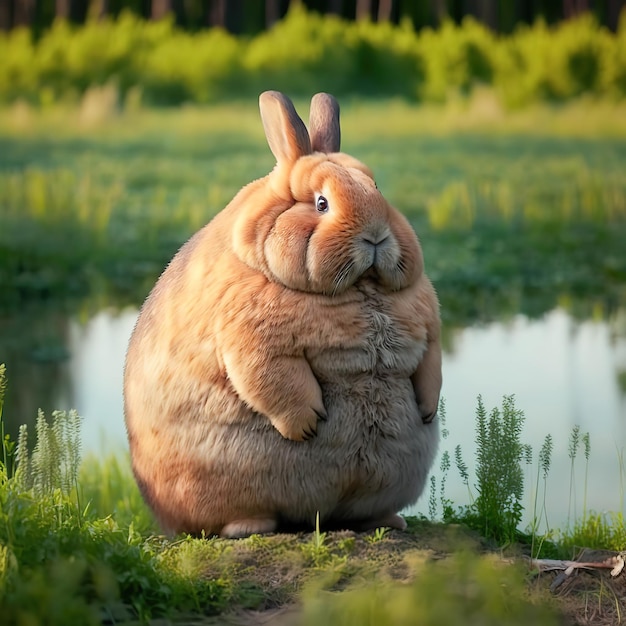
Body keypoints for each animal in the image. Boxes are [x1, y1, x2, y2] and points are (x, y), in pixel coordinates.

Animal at [124, 91, 442, 536]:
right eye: (322, 203)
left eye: (376, 187)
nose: (376, 235)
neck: (361, 287)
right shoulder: (251, 342)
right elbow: (277, 383)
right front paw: (307, 425)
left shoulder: (429, 333)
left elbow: (431, 371)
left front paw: (427, 410)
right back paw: (250, 527)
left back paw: (387, 521)